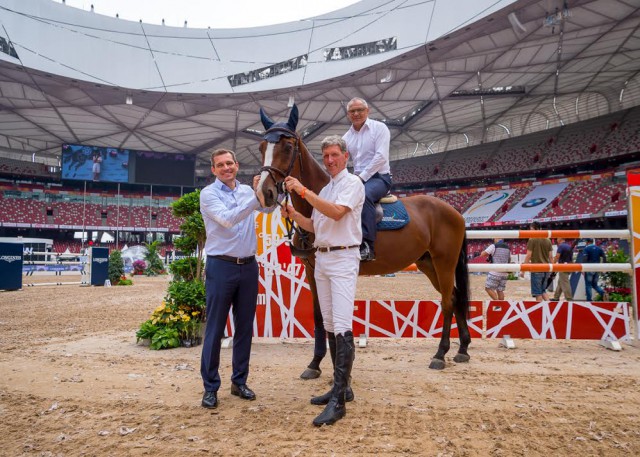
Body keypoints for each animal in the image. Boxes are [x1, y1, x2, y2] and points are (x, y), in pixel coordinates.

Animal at [255, 105, 470, 372]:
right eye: (262, 148)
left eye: (287, 146)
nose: (264, 193)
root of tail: (454, 212)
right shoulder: (312, 269)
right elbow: (319, 315)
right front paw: (315, 363)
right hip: (428, 263)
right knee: (455, 297)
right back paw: (462, 349)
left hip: (444, 263)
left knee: (447, 302)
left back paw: (440, 354)